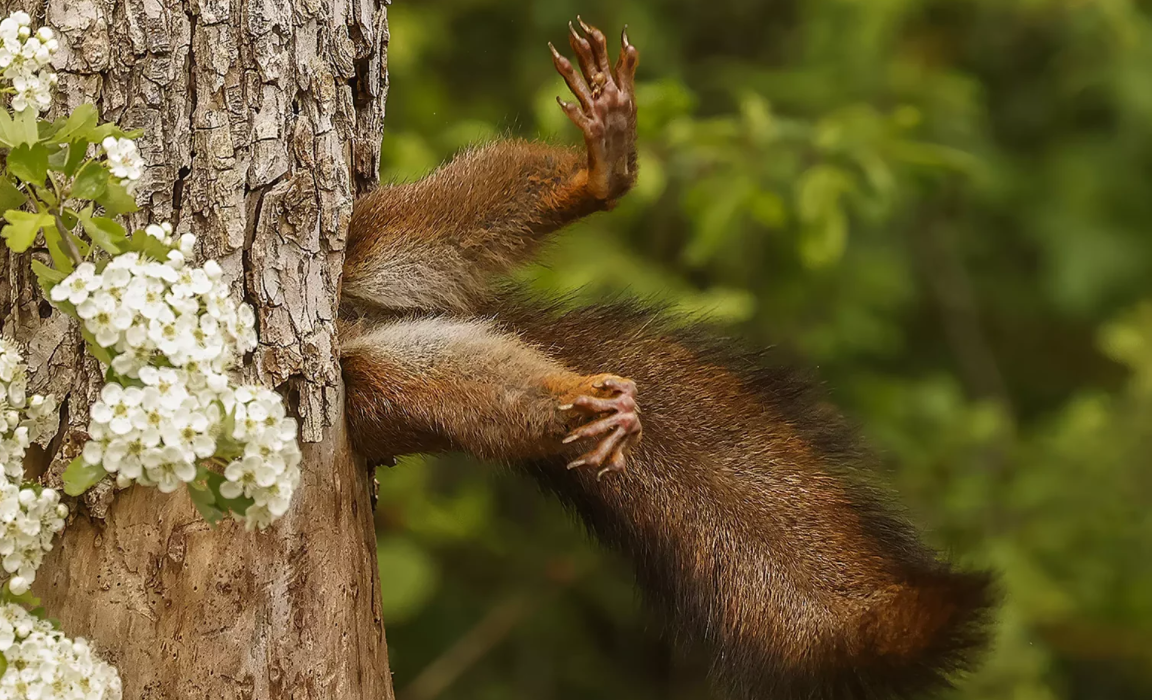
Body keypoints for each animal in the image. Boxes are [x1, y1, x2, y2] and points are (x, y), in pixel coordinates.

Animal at [336, 19, 995, 700]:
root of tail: (360, 320)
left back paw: (601, 172)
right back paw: (584, 404)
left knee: (449, 214)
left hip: (373, 237)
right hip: (377, 387)